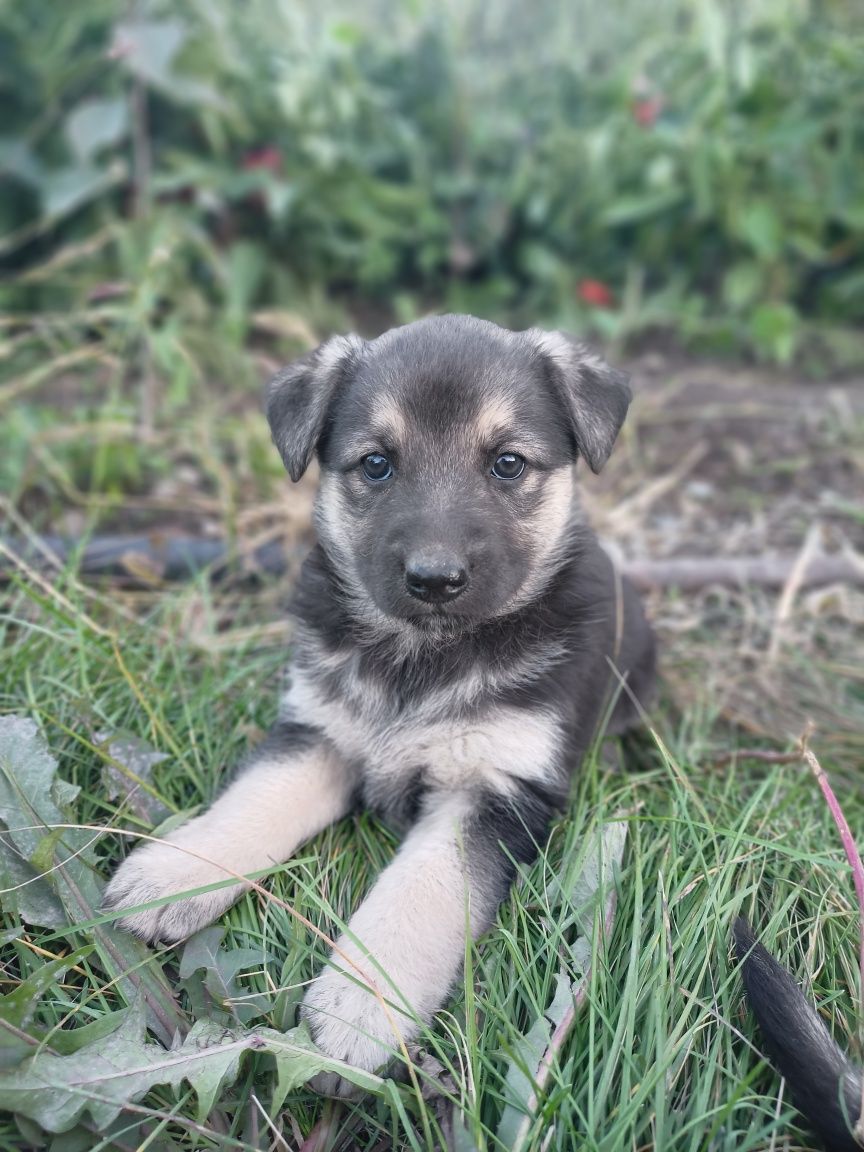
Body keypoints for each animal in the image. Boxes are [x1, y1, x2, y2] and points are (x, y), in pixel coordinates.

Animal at [103, 313, 654, 1087]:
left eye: (508, 464)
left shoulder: (495, 788)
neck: (420, 657)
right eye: (375, 464)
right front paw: (177, 871)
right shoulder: (321, 731)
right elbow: (252, 802)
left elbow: (422, 891)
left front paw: (362, 1005)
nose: (435, 578)